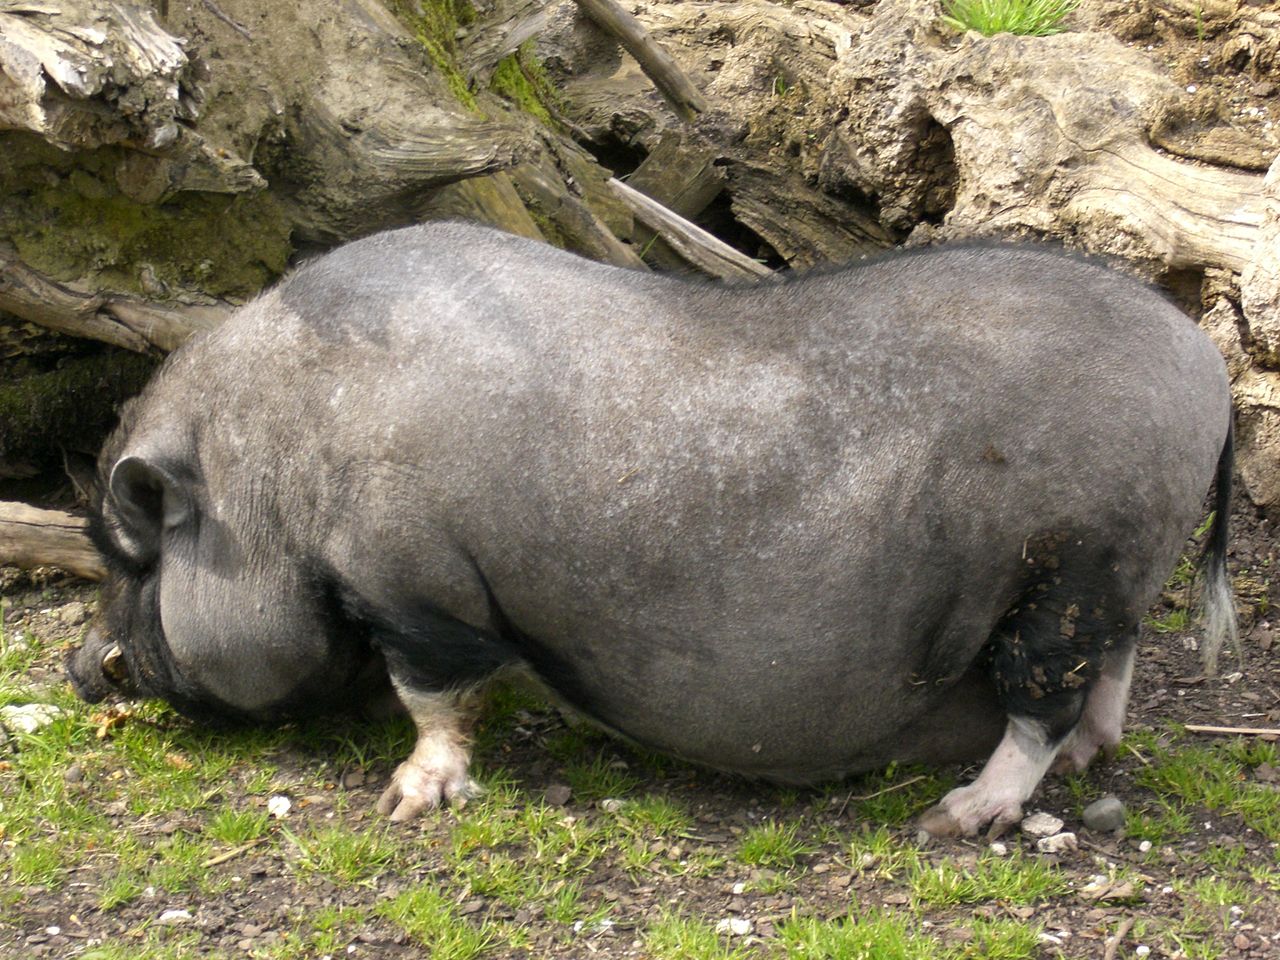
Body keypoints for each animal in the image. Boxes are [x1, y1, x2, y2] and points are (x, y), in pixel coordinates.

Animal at [64, 221, 1233, 839]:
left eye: (126, 554)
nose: (79, 668)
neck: (272, 472)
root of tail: (1206, 363)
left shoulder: (418, 582)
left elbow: (434, 694)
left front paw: (410, 802)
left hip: (1072, 566)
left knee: (1044, 697)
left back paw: (955, 816)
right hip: (1115, 572)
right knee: (1109, 677)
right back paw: (1079, 759)